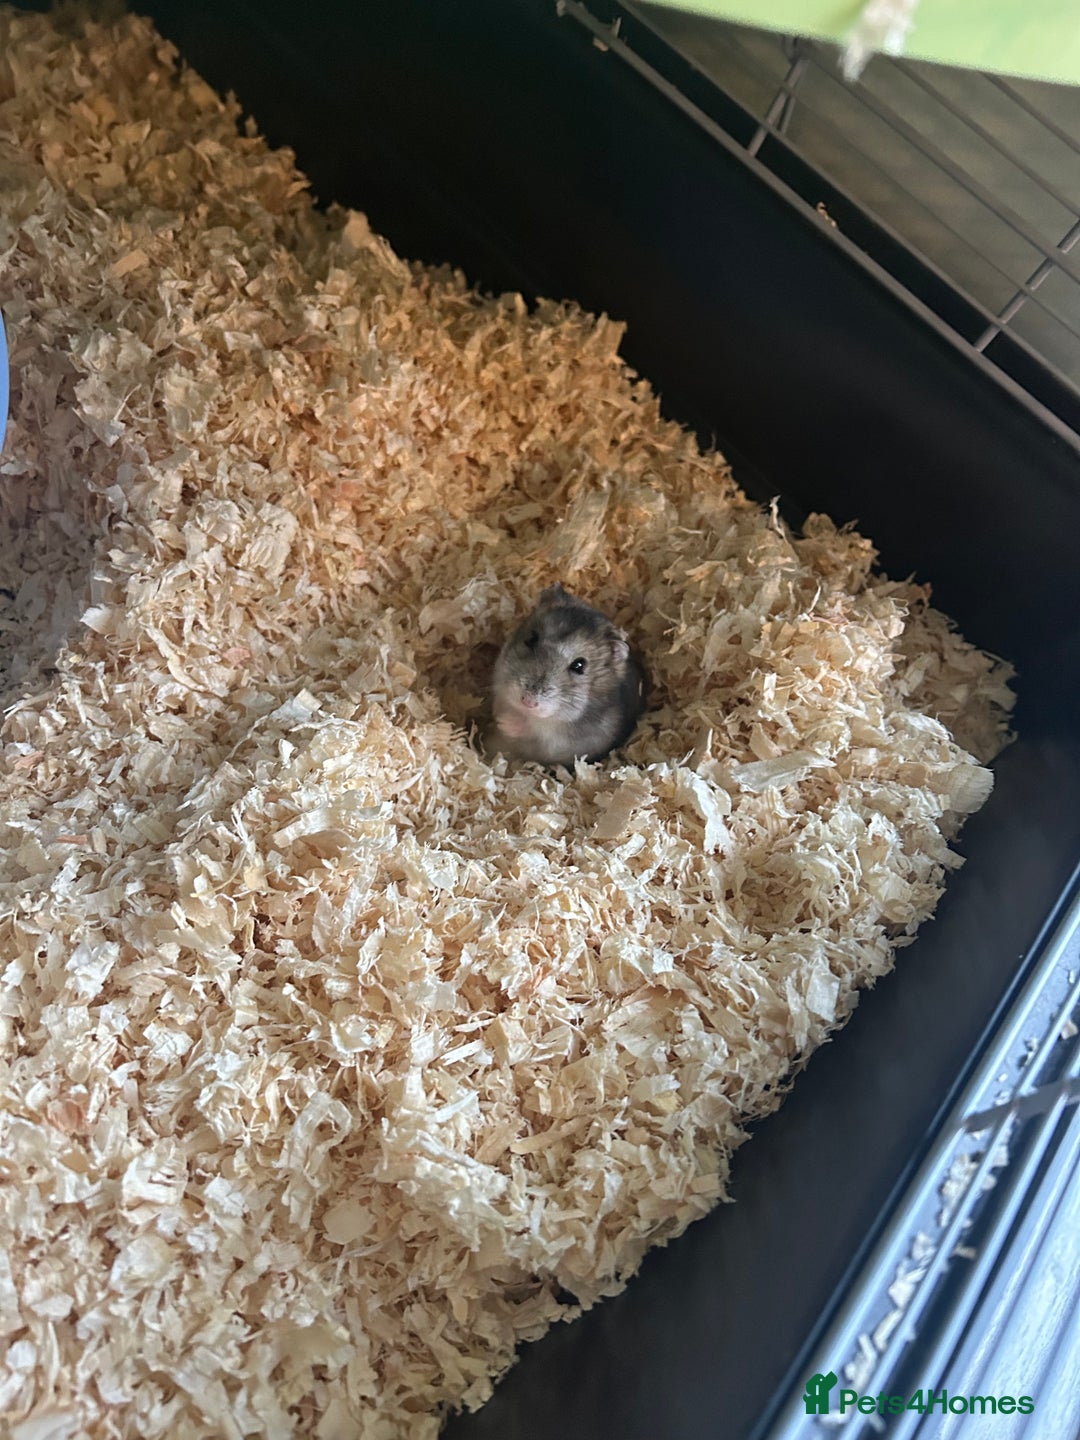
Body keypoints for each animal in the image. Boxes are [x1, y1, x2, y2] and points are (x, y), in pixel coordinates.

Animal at [486, 583, 646, 765]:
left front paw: (504, 722)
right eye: (531, 638)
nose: (528, 701)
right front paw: (500, 717)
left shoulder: (567, 744)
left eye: (579, 665)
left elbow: (539, 735)